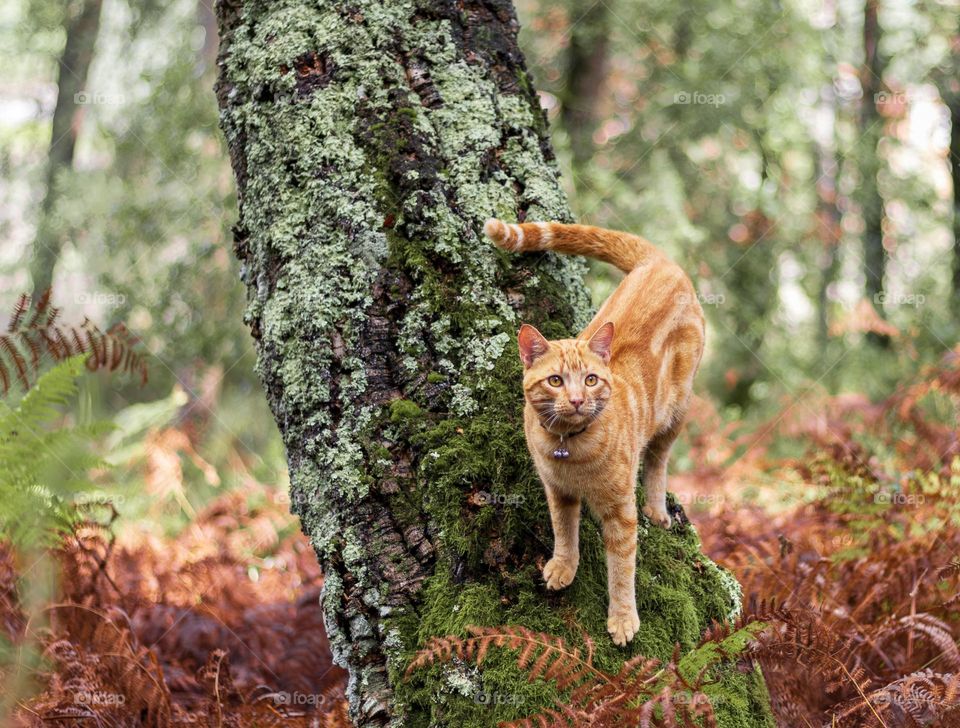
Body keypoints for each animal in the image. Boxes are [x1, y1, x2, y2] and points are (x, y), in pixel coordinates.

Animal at [484, 216, 700, 644]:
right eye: (555, 381)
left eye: (590, 380)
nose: (577, 400)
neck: (570, 448)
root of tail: (661, 262)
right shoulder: (558, 491)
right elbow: (564, 531)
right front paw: (563, 566)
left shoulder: (620, 513)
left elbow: (622, 569)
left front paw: (622, 618)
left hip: (678, 410)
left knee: (658, 458)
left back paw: (657, 508)